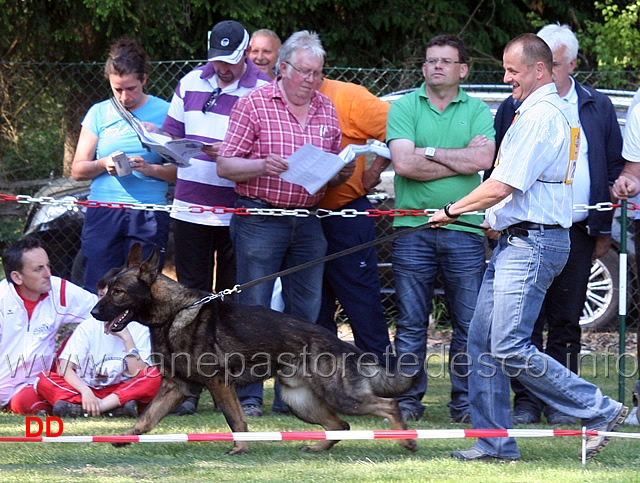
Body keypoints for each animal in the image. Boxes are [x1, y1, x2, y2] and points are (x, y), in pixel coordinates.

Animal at [92, 244, 418, 456]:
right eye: (107, 290)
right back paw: (317, 446)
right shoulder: (176, 387)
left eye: (117, 292)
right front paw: (126, 439)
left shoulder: (218, 384)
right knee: (341, 425)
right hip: (299, 401)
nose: (94, 313)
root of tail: (341, 342)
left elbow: (235, 419)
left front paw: (240, 448)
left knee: (388, 405)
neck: (174, 313)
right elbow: (145, 420)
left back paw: (407, 440)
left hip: (341, 396)